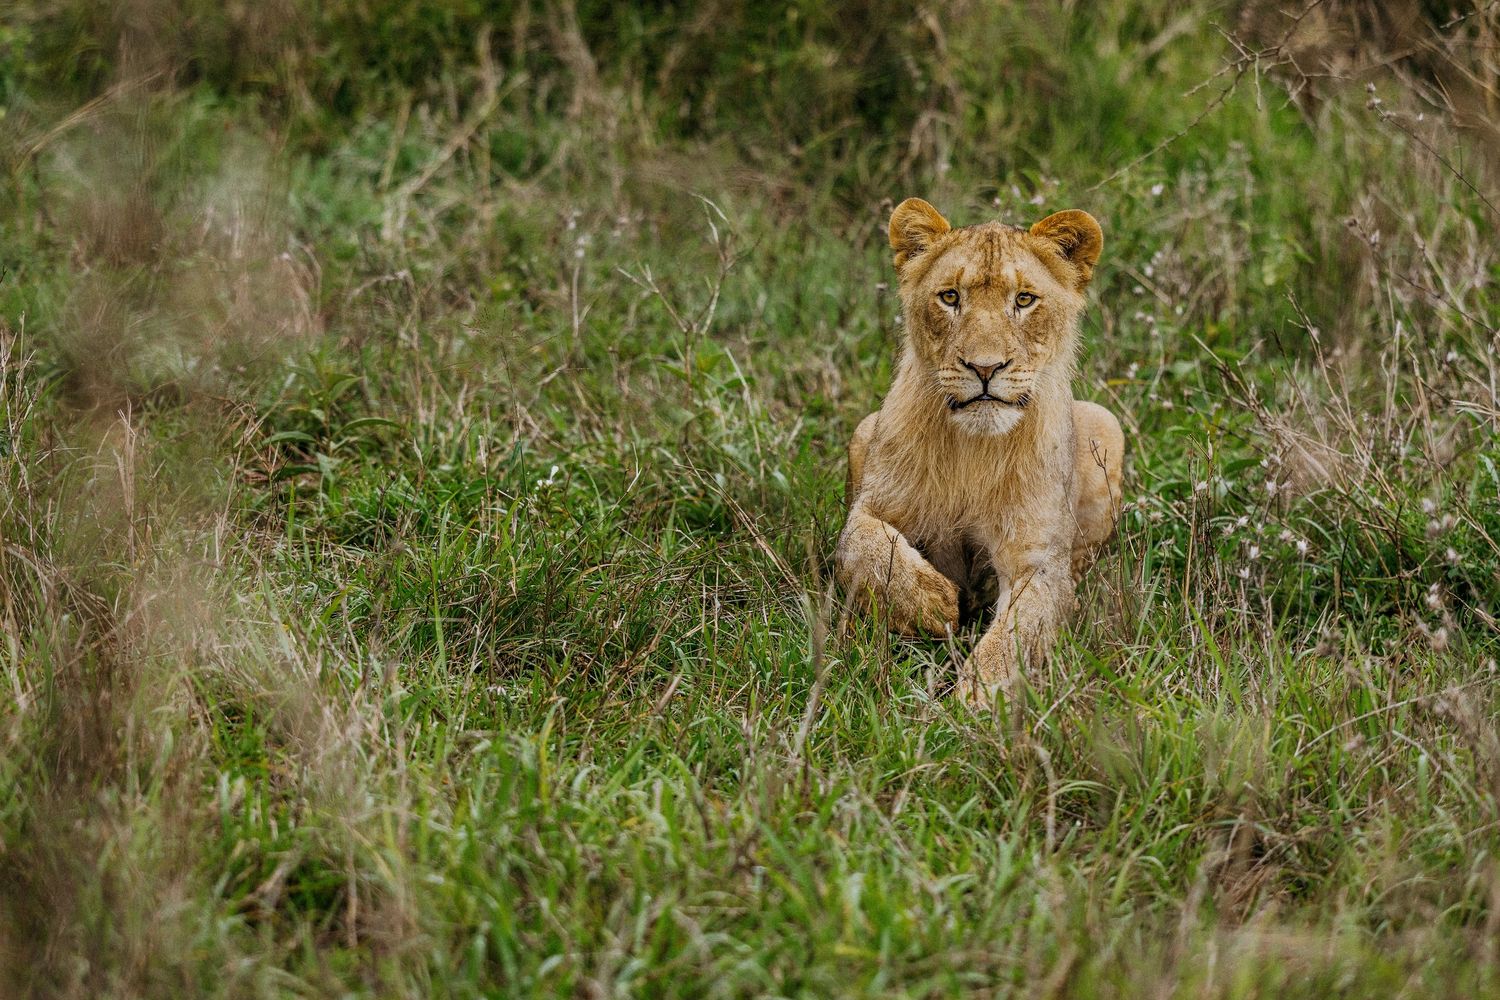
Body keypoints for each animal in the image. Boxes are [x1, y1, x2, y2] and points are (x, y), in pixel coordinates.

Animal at [836, 197, 1124, 708]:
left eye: (1024, 300)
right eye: (950, 297)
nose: (985, 368)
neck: (974, 450)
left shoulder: (1037, 560)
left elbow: (1020, 628)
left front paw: (981, 697)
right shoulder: (872, 504)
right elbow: (865, 544)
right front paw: (931, 600)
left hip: (1106, 424)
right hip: (862, 429)